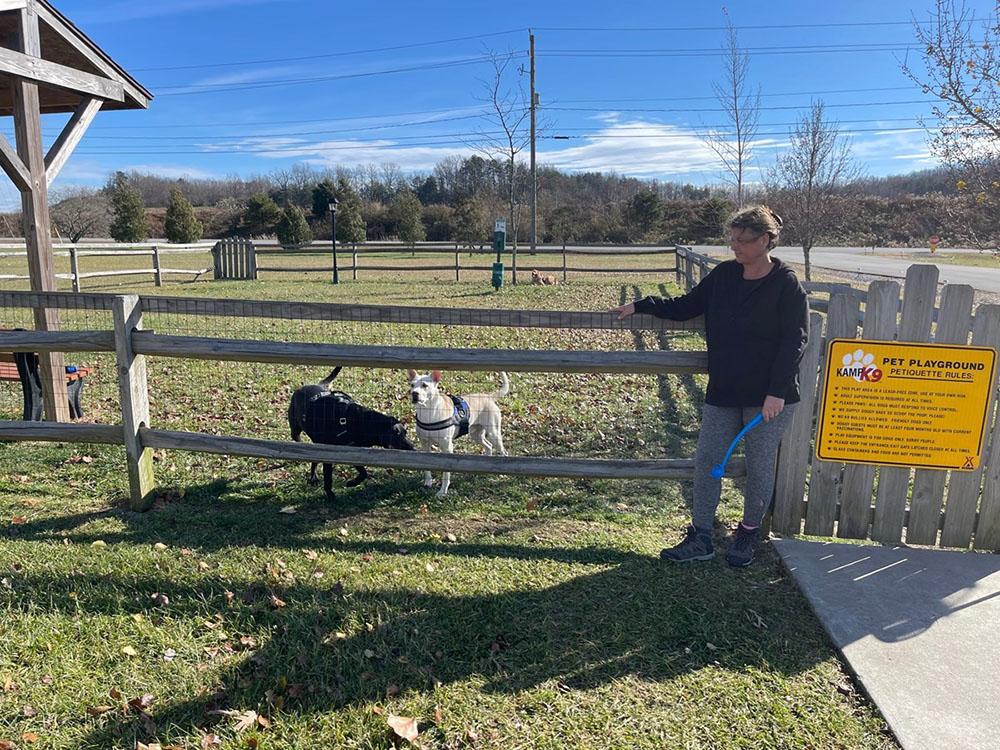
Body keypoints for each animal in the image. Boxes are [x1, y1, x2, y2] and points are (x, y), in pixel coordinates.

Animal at [288, 368, 416, 500]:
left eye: (405, 433)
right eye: (397, 435)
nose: (413, 449)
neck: (361, 422)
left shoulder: (353, 451)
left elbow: (363, 472)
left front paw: (351, 483)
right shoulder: (331, 452)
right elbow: (328, 478)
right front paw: (331, 495)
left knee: (314, 460)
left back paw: (313, 477)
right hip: (296, 429)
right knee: (297, 438)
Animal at [406, 372, 508, 500]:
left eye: (425, 385)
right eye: (412, 385)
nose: (414, 393)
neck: (428, 412)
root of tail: (488, 397)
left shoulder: (447, 448)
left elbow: (446, 474)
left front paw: (442, 491)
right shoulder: (425, 445)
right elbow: (426, 468)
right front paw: (428, 482)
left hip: (494, 434)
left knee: (503, 452)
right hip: (476, 435)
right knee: (488, 446)